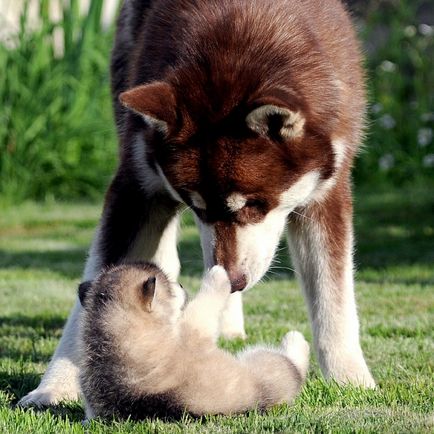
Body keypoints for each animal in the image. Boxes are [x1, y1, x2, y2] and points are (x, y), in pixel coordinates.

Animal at [77, 262, 308, 418]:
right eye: (170, 287)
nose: (181, 285)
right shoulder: (193, 332)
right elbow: (203, 306)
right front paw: (217, 275)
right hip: (269, 366)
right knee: (294, 365)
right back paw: (295, 340)